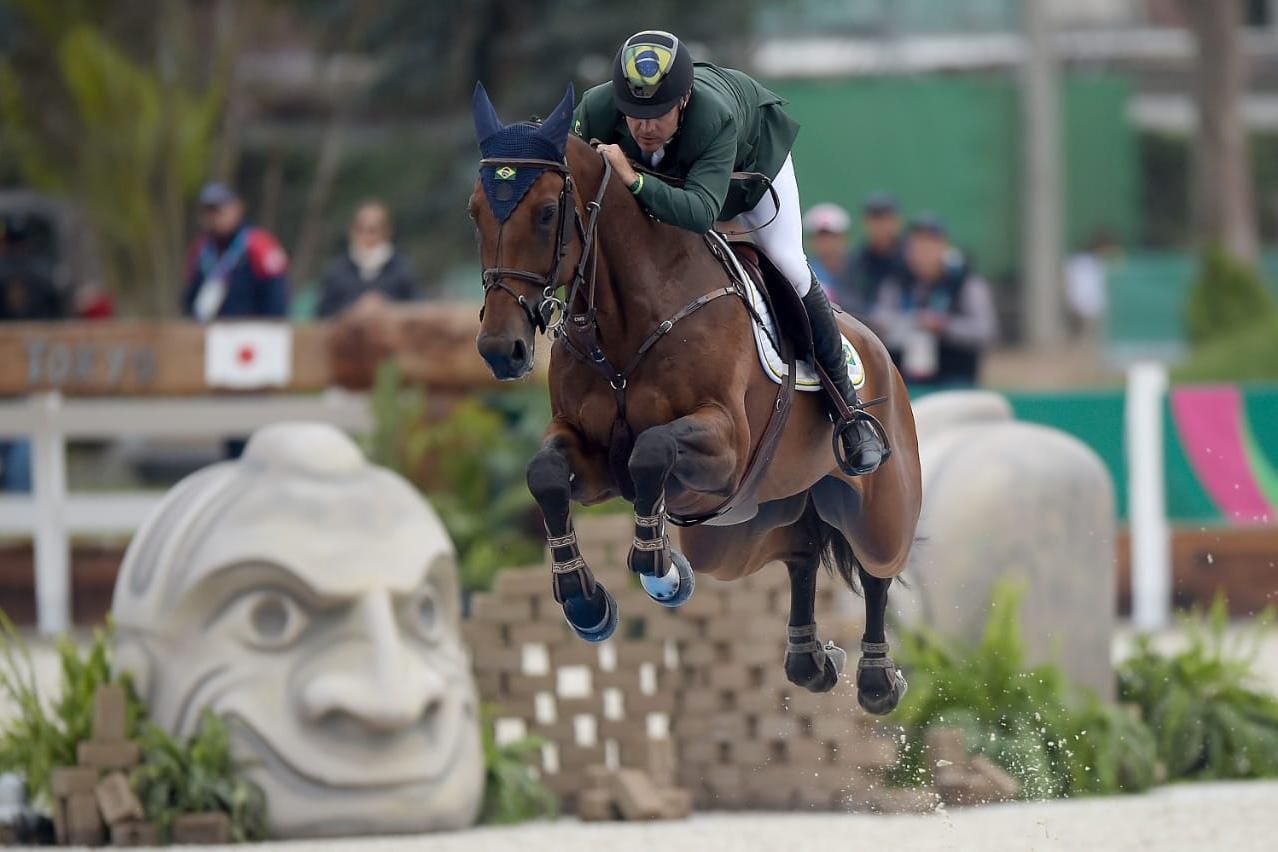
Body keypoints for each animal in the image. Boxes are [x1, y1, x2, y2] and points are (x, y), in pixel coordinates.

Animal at [470, 84, 920, 715]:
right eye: (474, 212)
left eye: (545, 213)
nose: (501, 350)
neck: (625, 322)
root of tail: (881, 349)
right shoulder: (589, 454)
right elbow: (546, 474)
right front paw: (586, 602)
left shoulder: (724, 447)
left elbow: (652, 452)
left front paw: (661, 571)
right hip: (741, 532)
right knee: (801, 553)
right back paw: (811, 662)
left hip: (879, 503)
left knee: (878, 565)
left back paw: (878, 678)